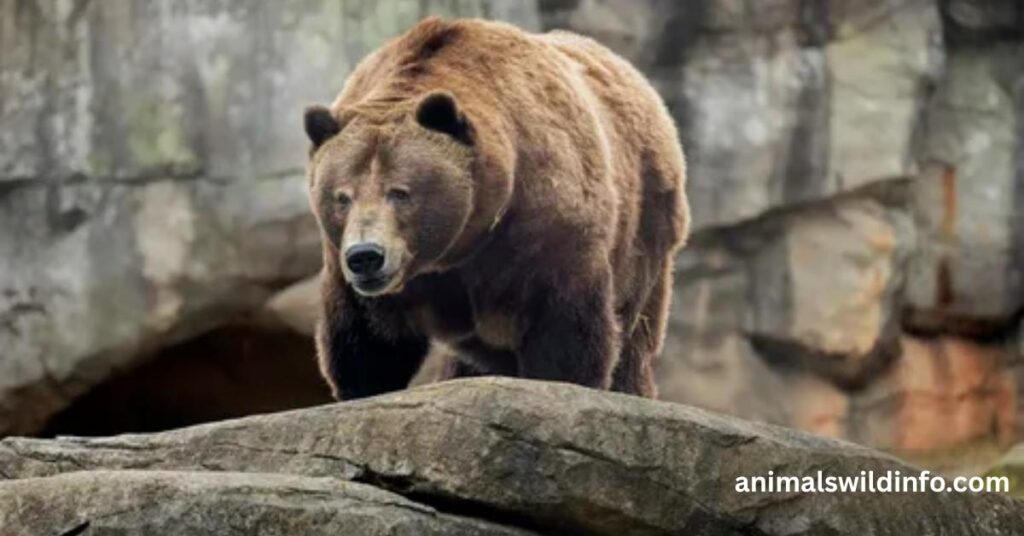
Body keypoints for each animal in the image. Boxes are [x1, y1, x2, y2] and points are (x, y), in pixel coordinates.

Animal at [303, 17, 688, 400]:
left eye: (400, 192)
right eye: (342, 196)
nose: (366, 255)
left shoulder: (542, 228)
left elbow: (564, 326)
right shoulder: (362, 275)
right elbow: (368, 342)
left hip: (645, 228)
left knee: (634, 331)